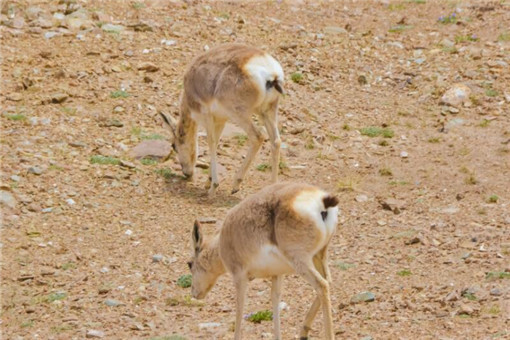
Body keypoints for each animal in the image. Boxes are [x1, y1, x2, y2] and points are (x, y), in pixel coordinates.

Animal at [161, 43, 284, 195]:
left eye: (174, 145)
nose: (186, 173)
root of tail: (272, 74)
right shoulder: (221, 120)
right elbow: (217, 141)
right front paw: (208, 182)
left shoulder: (207, 116)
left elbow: (211, 142)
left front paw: (213, 187)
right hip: (267, 112)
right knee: (276, 141)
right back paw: (272, 187)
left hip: (240, 115)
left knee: (258, 136)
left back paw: (236, 184)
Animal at [186, 183, 338, 340]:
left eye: (189, 264)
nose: (194, 293)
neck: (222, 244)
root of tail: (322, 201)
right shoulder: (277, 275)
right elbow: (275, 300)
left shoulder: (240, 277)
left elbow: (240, 307)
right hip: (318, 256)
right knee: (328, 281)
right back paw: (304, 331)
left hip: (301, 262)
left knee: (322, 285)